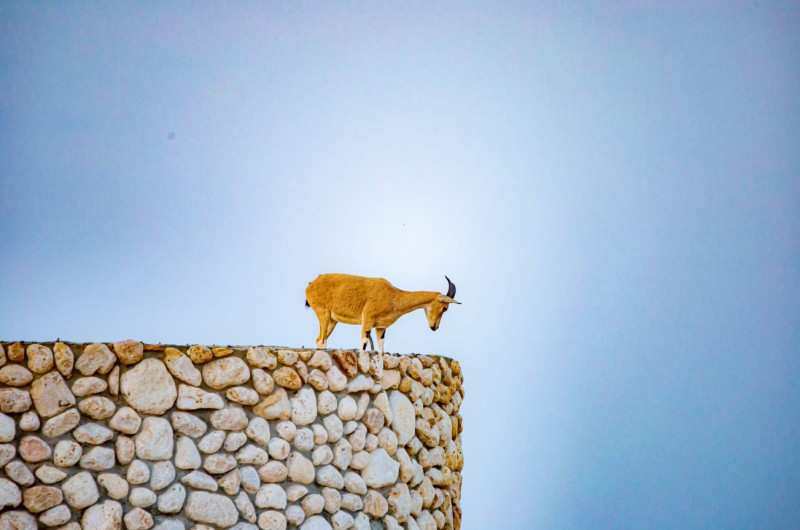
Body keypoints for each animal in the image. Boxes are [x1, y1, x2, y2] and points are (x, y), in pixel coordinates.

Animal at [304, 274, 460, 352]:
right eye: (445, 308)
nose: (435, 327)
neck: (392, 296)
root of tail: (311, 284)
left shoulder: (380, 327)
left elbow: (380, 348)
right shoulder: (367, 320)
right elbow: (364, 344)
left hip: (332, 320)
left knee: (320, 339)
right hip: (323, 314)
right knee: (322, 340)